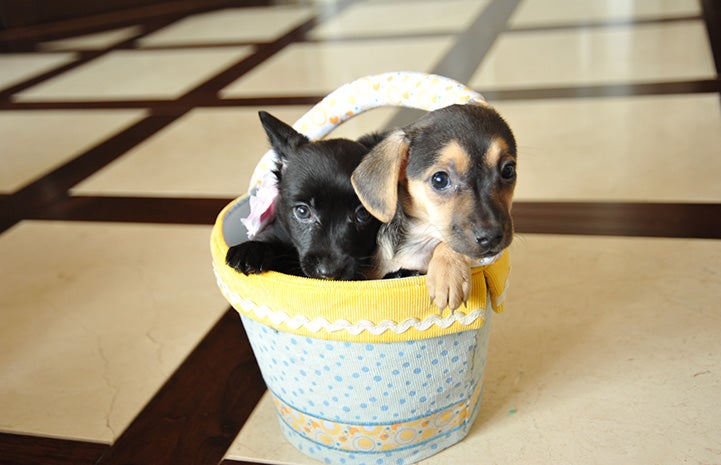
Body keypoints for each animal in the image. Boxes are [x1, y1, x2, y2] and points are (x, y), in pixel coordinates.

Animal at [350, 103, 516, 310]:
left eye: (508, 170)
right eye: (440, 180)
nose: (492, 237)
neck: (420, 240)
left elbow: (449, 243)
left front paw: (448, 273)